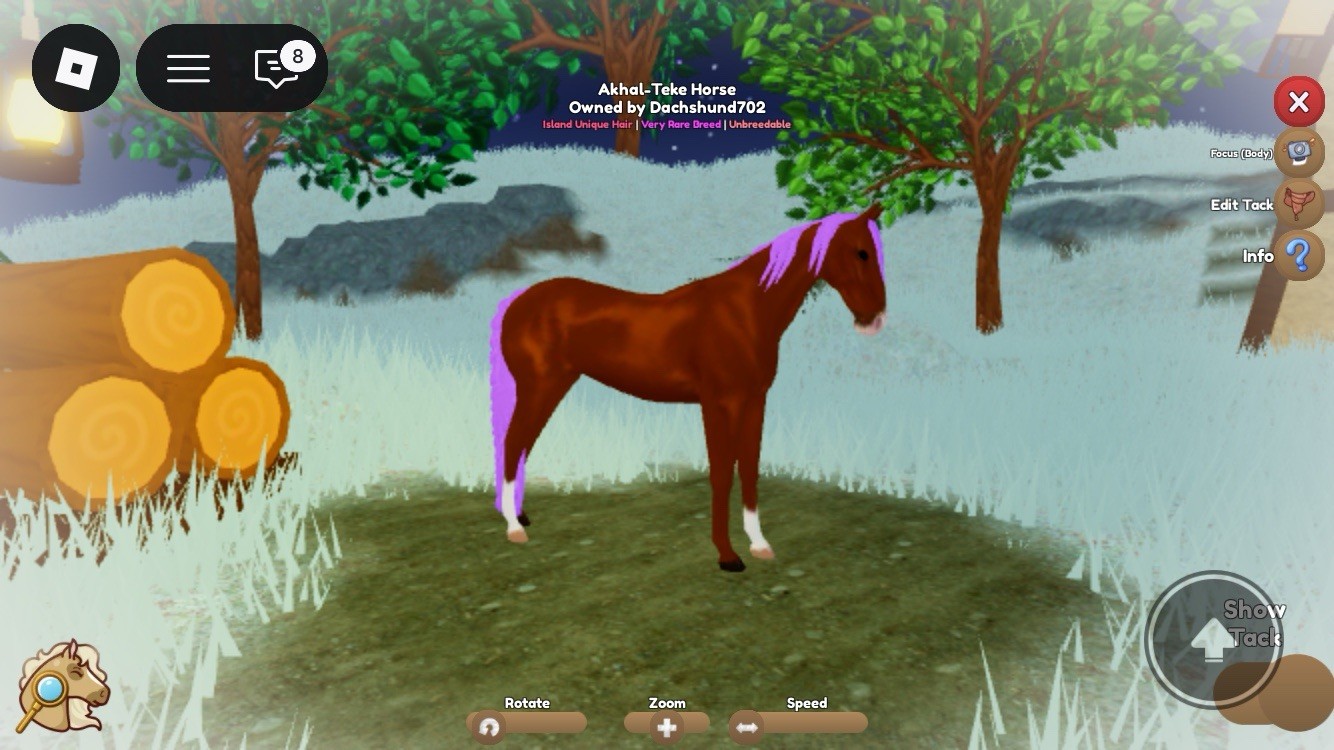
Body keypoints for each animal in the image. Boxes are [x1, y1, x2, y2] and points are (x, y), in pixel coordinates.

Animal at [490, 204, 886, 571]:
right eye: (861, 252)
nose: (876, 318)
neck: (746, 311)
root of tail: (517, 302)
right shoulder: (718, 404)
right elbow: (722, 476)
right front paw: (728, 556)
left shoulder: (755, 402)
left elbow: (750, 473)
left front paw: (759, 544)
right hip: (540, 387)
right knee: (512, 443)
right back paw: (514, 528)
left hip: (552, 387)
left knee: (522, 445)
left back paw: (520, 516)